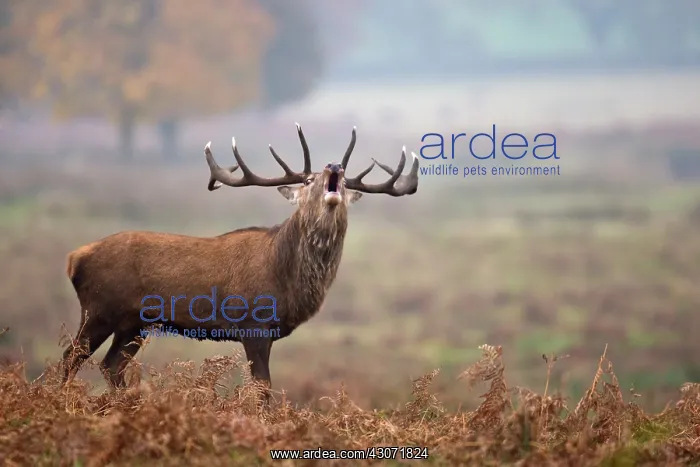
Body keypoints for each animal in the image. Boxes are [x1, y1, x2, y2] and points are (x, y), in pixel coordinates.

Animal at [60, 124, 419, 400]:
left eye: (343, 183)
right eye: (307, 181)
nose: (335, 166)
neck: (284, 276)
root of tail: (75, 258)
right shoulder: (253, 323)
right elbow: (261, 387)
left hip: (135, 321)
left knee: (111, 365)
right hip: (100, 307)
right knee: (71, 356)